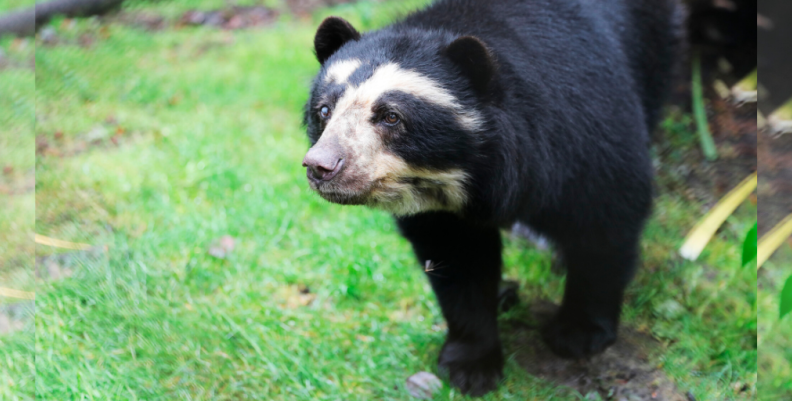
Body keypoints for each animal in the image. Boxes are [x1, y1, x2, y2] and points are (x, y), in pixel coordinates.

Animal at [300, 0, 684, 394]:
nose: (320, 167)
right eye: (324, 110)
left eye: (391, 116)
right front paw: (471, 366)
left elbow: (604, 217)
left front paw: (578, 334)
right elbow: (460, 260)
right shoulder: (445, 212)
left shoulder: (584, 132)